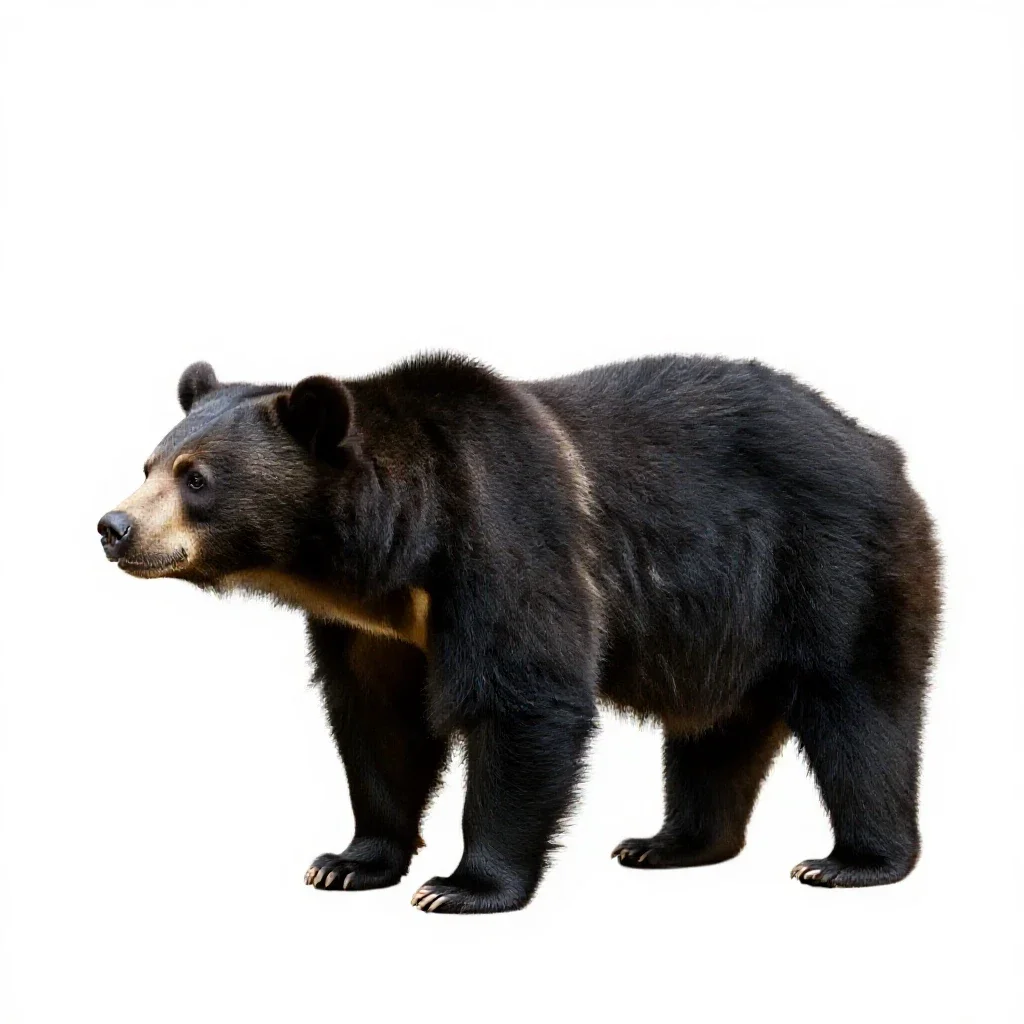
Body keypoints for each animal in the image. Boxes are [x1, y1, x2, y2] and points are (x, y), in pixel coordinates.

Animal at [98, 354, 940, 913]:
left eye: (196, 477)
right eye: (147, 464)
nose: (113, 528)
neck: (395, 555)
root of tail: (880, 447)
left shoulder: (505, 537)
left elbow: (523, 699)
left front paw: (462, 886)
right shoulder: (374, 625)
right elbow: (377, 722)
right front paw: (348, 861)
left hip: (833, 566)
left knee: (861, 714)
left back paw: (854, 861)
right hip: (727, 624)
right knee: (716, 730)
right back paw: (670, 843)